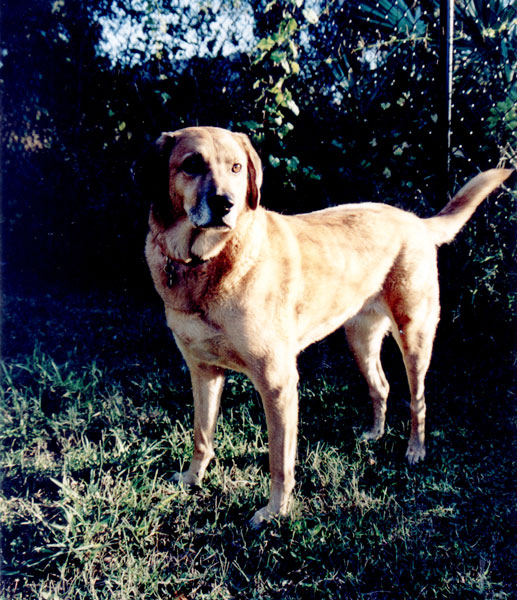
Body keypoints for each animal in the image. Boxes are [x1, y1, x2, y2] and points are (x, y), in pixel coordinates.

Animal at [143, 125, 510, 524]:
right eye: (192, 165)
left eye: (236, 167)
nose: (226, 203)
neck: (206, 261)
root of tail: (415, 221)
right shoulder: (203, 371)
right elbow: (202, 435)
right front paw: (193, 479)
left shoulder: (277, 383)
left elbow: (279, 463)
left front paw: (275, 512)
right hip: (359, 338)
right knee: (381, 386)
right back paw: (375, 434)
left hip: (414, 336)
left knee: (419, 399)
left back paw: (415, 450)